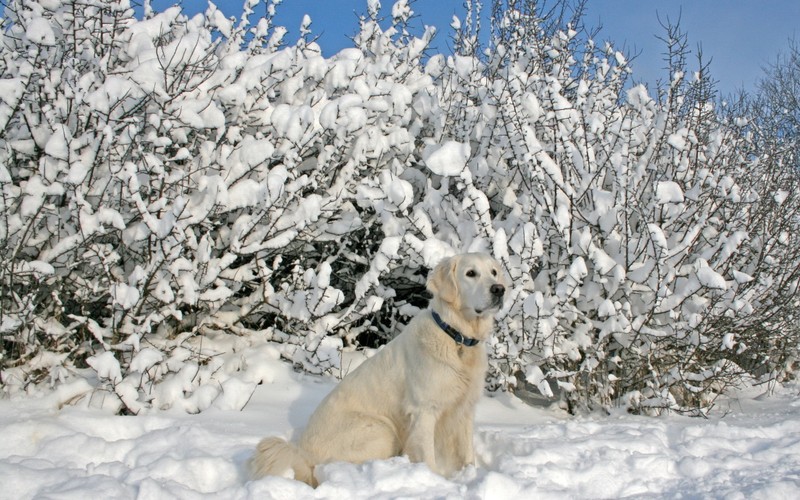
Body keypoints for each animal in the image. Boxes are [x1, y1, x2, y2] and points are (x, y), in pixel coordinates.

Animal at [252, 254, 506, 484]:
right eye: (471, 273)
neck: (457, 337)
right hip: (380, 429)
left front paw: (470, 474)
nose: (499, 289)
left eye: (494, 272)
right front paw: (437, 481)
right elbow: (427, 455)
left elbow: (467, 454)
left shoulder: (464, 409)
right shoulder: (424, 410)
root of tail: (303, 456)